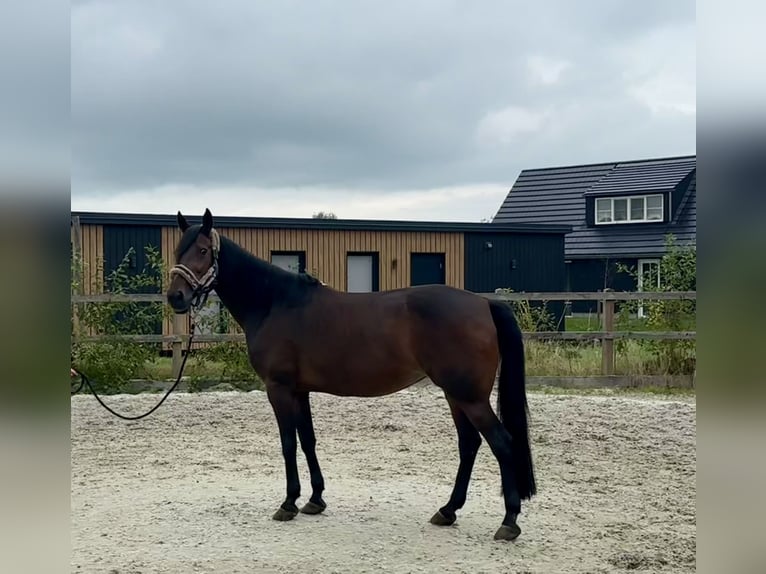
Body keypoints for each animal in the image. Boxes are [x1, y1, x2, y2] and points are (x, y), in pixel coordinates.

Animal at [168, 209, 540, 544]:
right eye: (178, 251)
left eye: (203, 251)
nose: (176, 297)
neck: (274, 302)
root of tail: (483, 304)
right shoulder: (300, 390)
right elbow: (308, 440)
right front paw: (315, 499)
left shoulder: (279, 389)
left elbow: (288, 443)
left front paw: (288, 502)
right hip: (455, 394)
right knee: (469, 444)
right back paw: (448, 510)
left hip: (469, 397)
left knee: (502, 443)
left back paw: (509, 521)